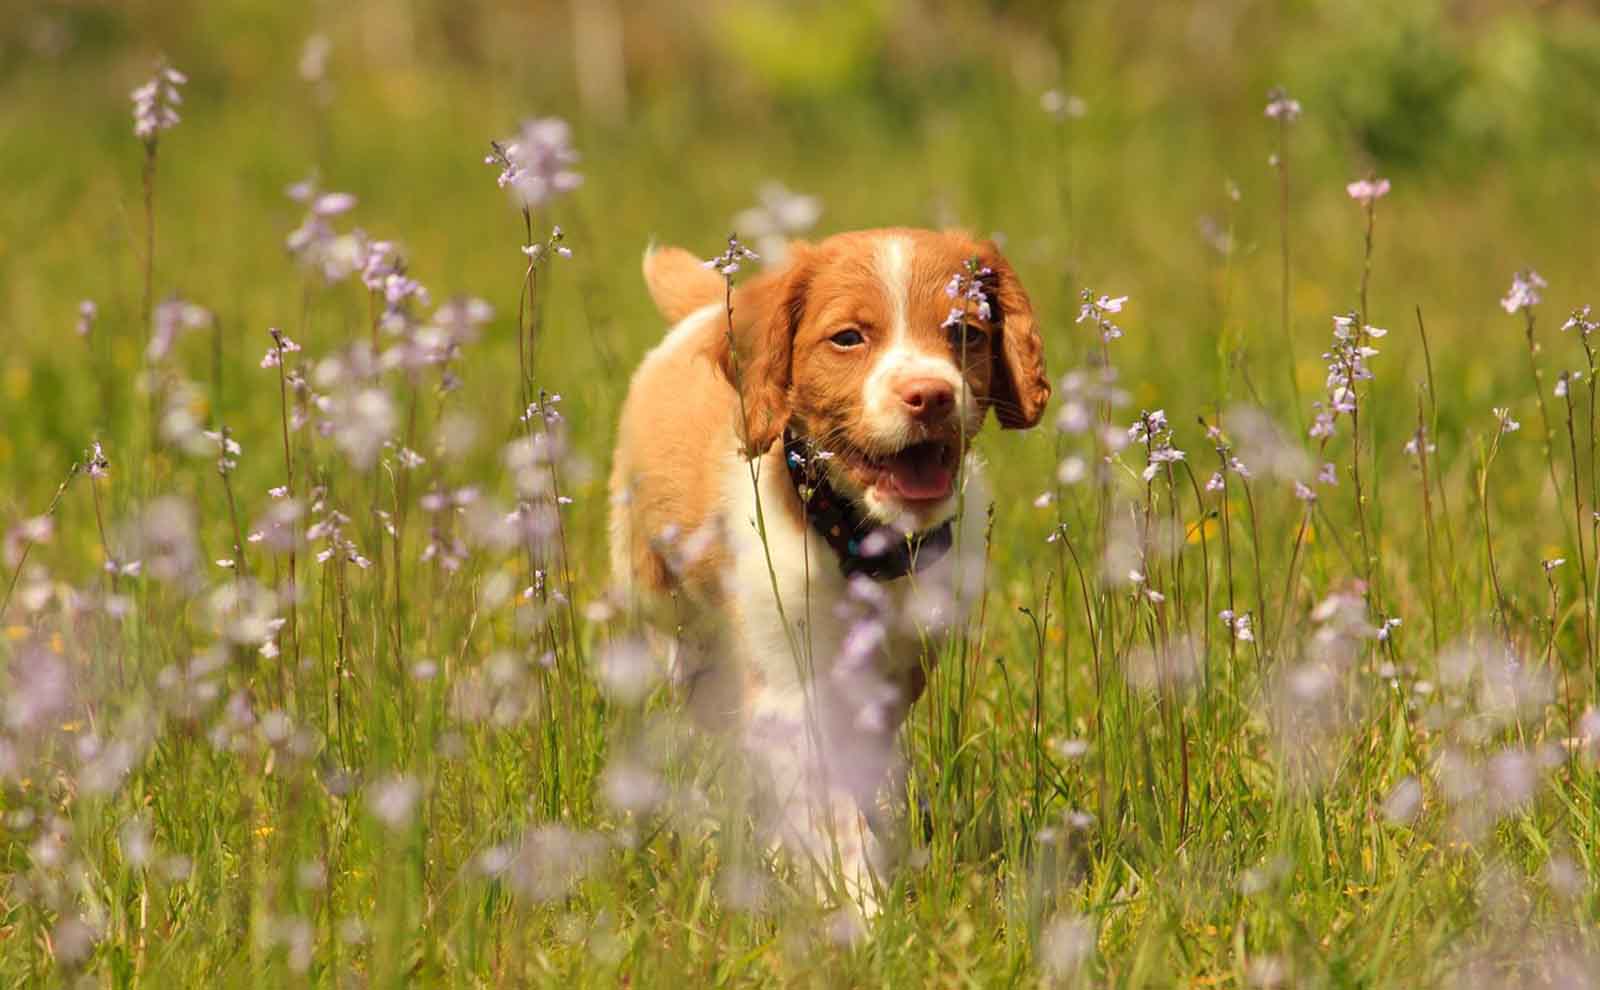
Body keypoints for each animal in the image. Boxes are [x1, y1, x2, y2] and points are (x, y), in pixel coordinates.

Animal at [601, 228, 1049, 908]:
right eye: (847, 338)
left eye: (965, 332)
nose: (932, 395)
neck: (860, 545)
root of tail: (703, 311)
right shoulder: (784, 679)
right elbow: (827, 808)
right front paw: (860, 909)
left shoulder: (894, 674)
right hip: (668, 619)